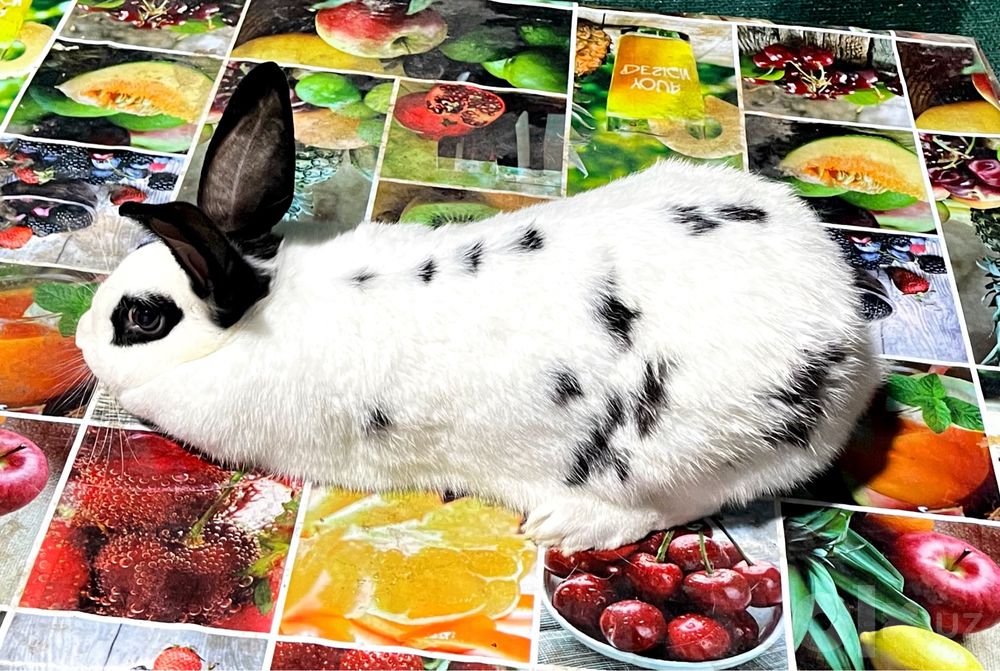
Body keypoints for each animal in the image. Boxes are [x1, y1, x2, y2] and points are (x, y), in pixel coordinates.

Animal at [76, 62, 881, 552]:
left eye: (143, 319)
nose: (81, 335)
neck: (258, 305)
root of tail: (849, 340)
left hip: (676, 456)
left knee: (672, 504)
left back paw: (567, 525)